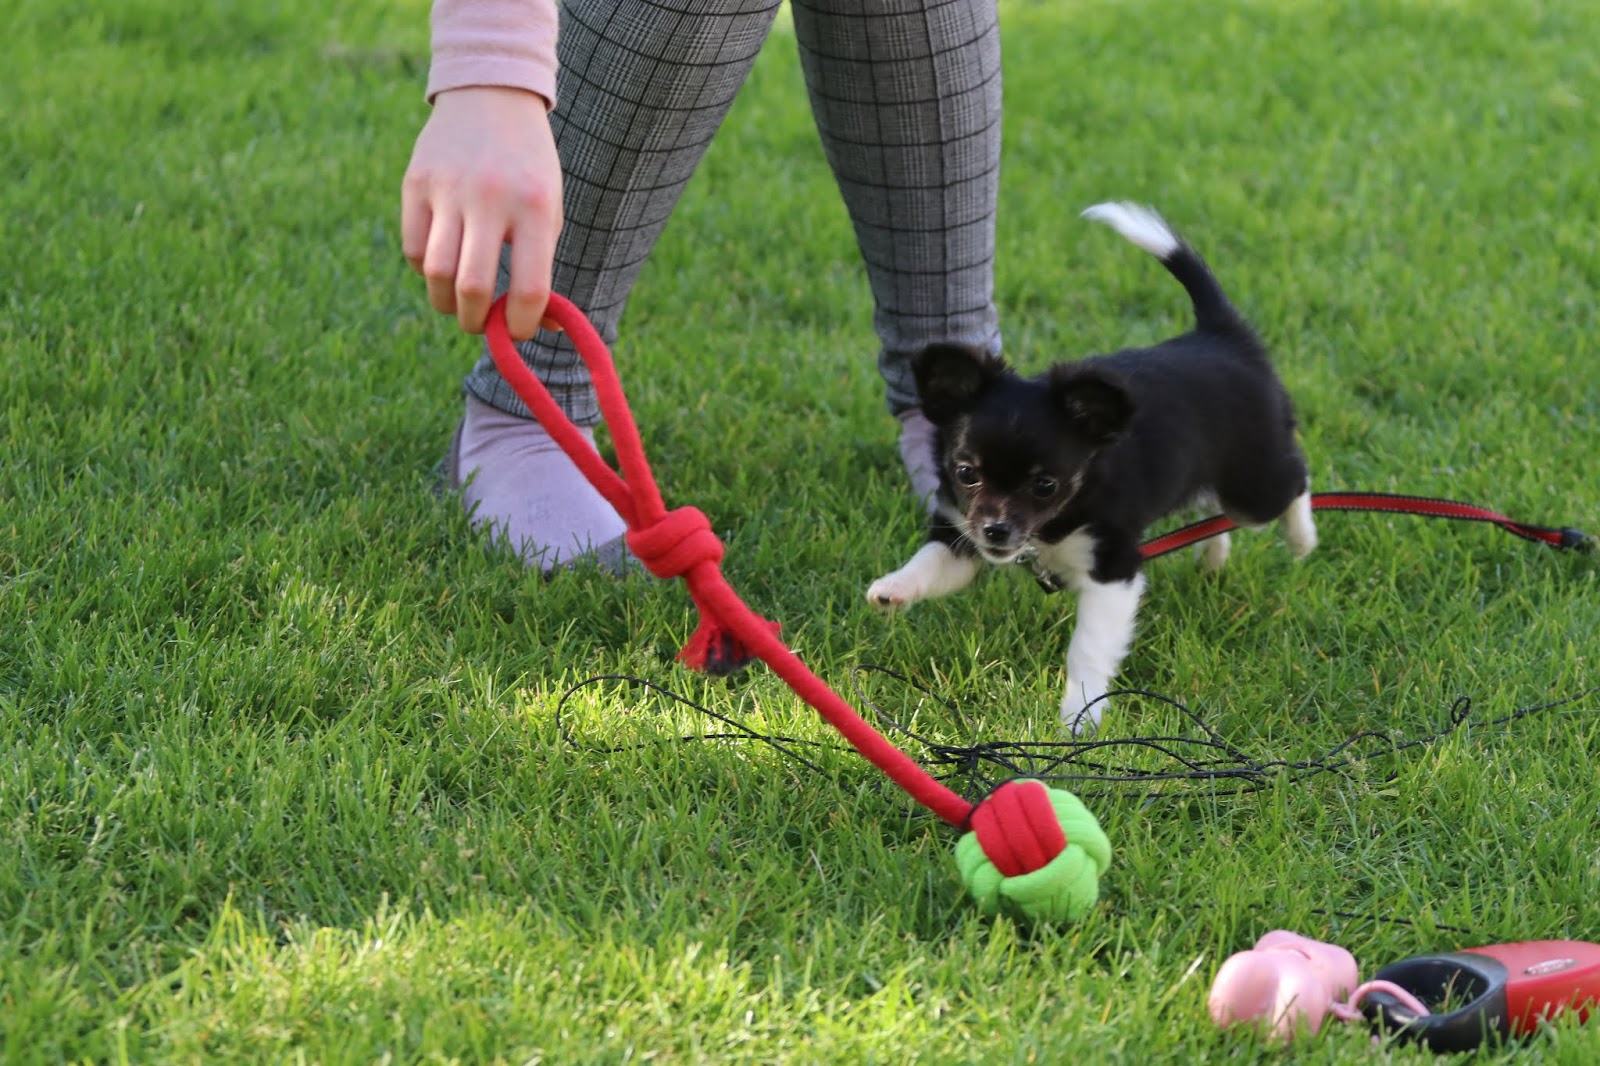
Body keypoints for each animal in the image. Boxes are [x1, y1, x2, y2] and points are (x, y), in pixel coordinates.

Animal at [867, 202, 1317, 733]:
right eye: (966, 474)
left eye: (1045, 485)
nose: (996, 531)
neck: (1056, 523)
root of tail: (1223, 335)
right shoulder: (962, 534)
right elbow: (931, 561)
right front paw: (893, 589)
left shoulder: (1113, 569)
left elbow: (1088, 648)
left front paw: (1078, 717)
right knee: (1215, 509)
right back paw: (1214, 557)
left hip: (1253, 486)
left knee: (1295, 479)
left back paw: (1302, 538)